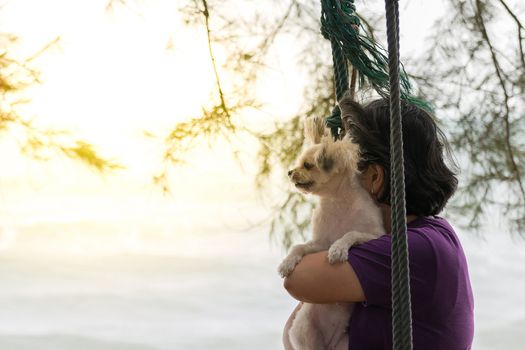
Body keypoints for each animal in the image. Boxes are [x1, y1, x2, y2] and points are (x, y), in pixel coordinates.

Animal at [276, 115, 382, 350]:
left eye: (307, 165)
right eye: (299, 163)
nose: (289, 172)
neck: (337, 201)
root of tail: (329, 344)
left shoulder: (376, 235)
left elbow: (350, 234)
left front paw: (338, 250)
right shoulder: (319, 243)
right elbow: (299, 246)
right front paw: (287, 263)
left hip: (344, 342)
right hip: (306, 331)